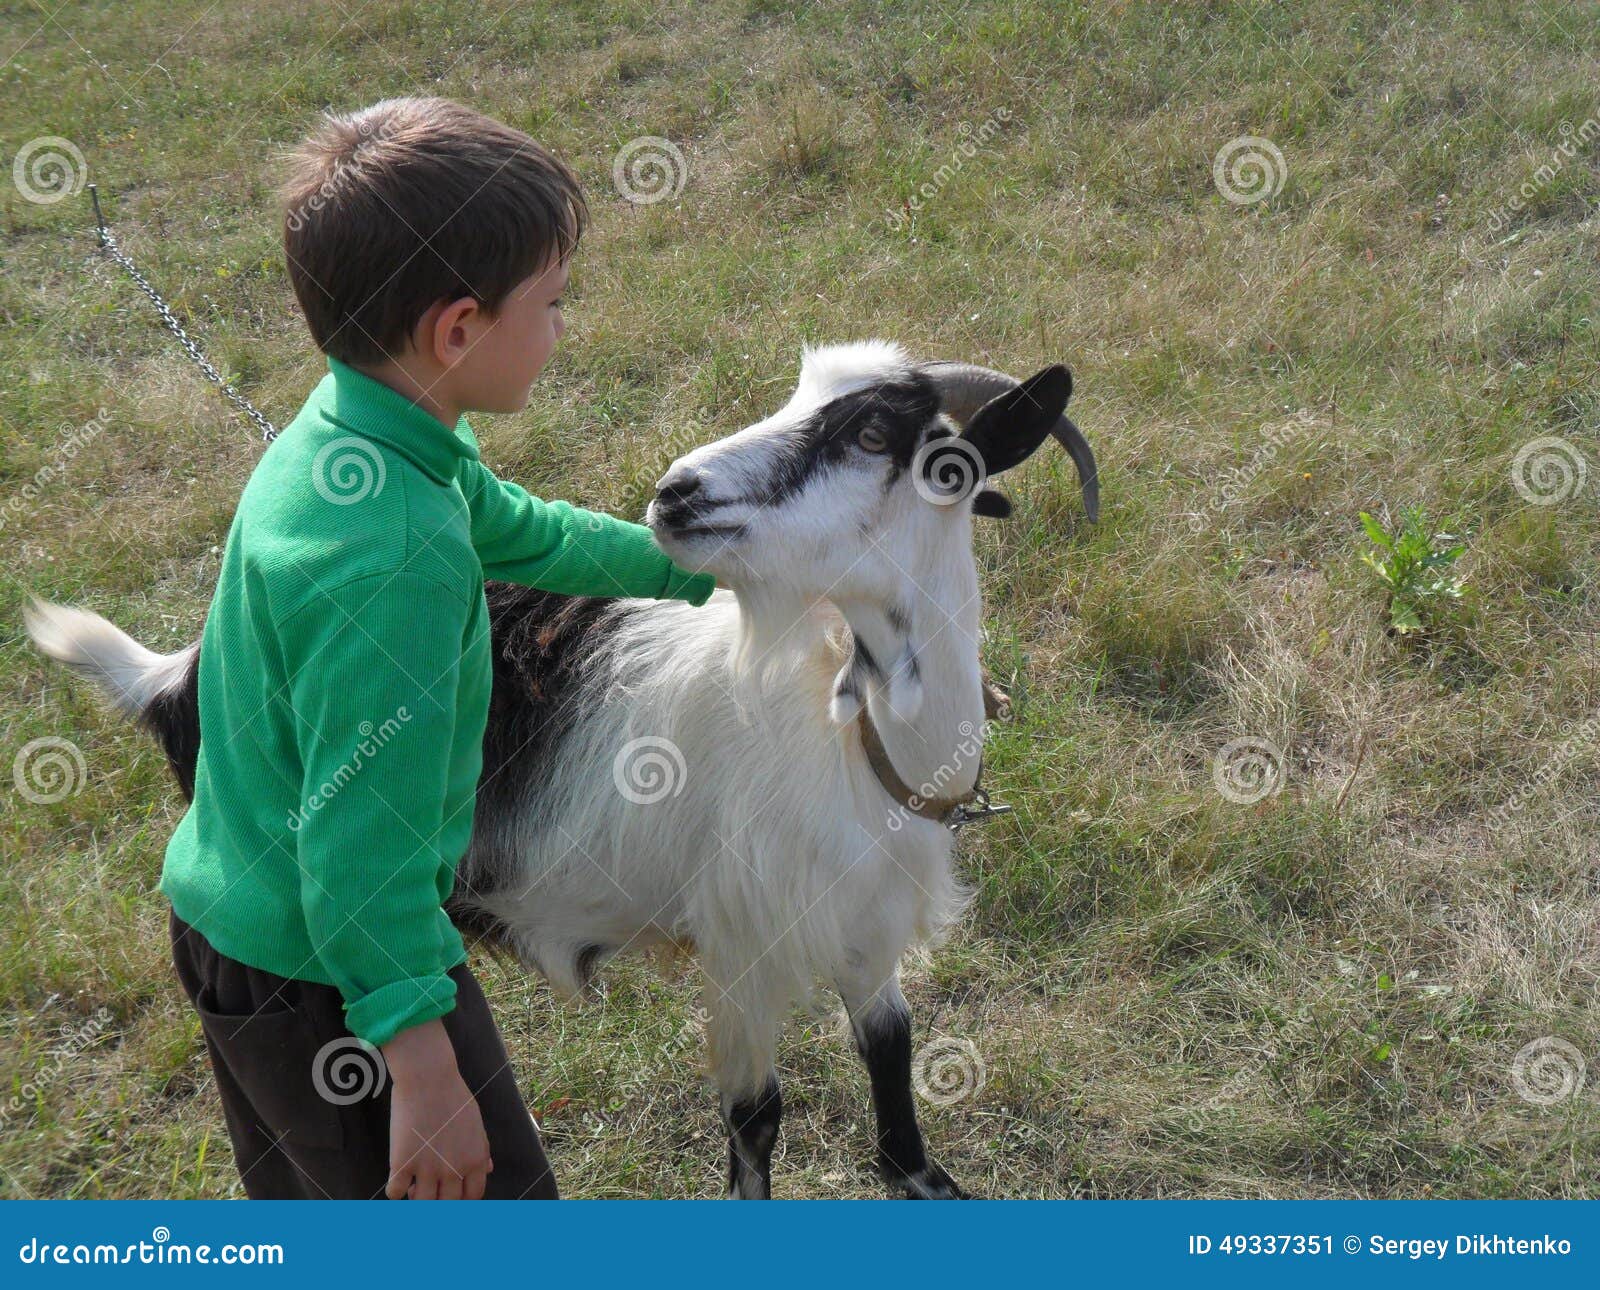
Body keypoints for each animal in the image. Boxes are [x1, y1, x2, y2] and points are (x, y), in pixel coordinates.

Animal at [27, 341, 1096, 1198]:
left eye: (873, 429)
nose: (677, 493)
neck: (858, 743)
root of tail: (183, 674)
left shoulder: (868, 926)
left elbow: (893, 1069)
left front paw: (925, 1177)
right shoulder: (742, 947)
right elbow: (756, 1124)